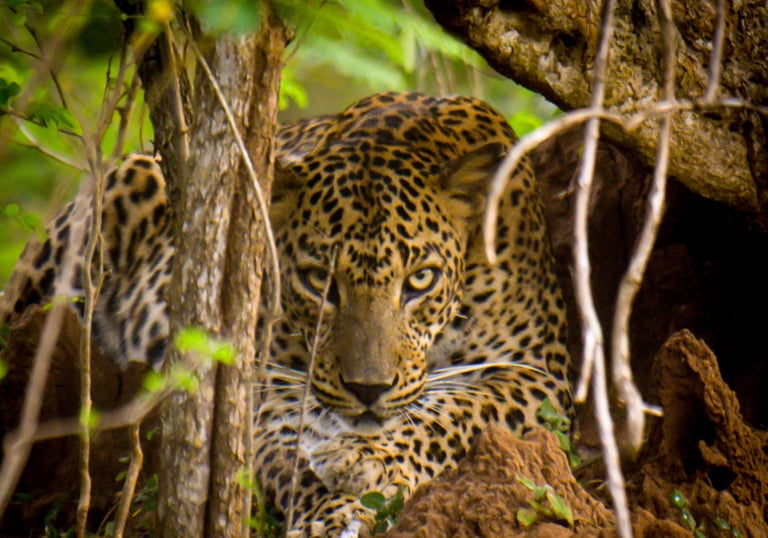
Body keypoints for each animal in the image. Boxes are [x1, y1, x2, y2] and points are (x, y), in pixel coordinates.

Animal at [0, 91, 572, 537]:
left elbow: (459, 410)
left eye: (420, 280)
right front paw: (332, 505)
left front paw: (363, 461)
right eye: (320, 282)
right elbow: (280, 452)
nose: (367, 390)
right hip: (121, 190)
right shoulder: (261, 379)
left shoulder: (541, 372)